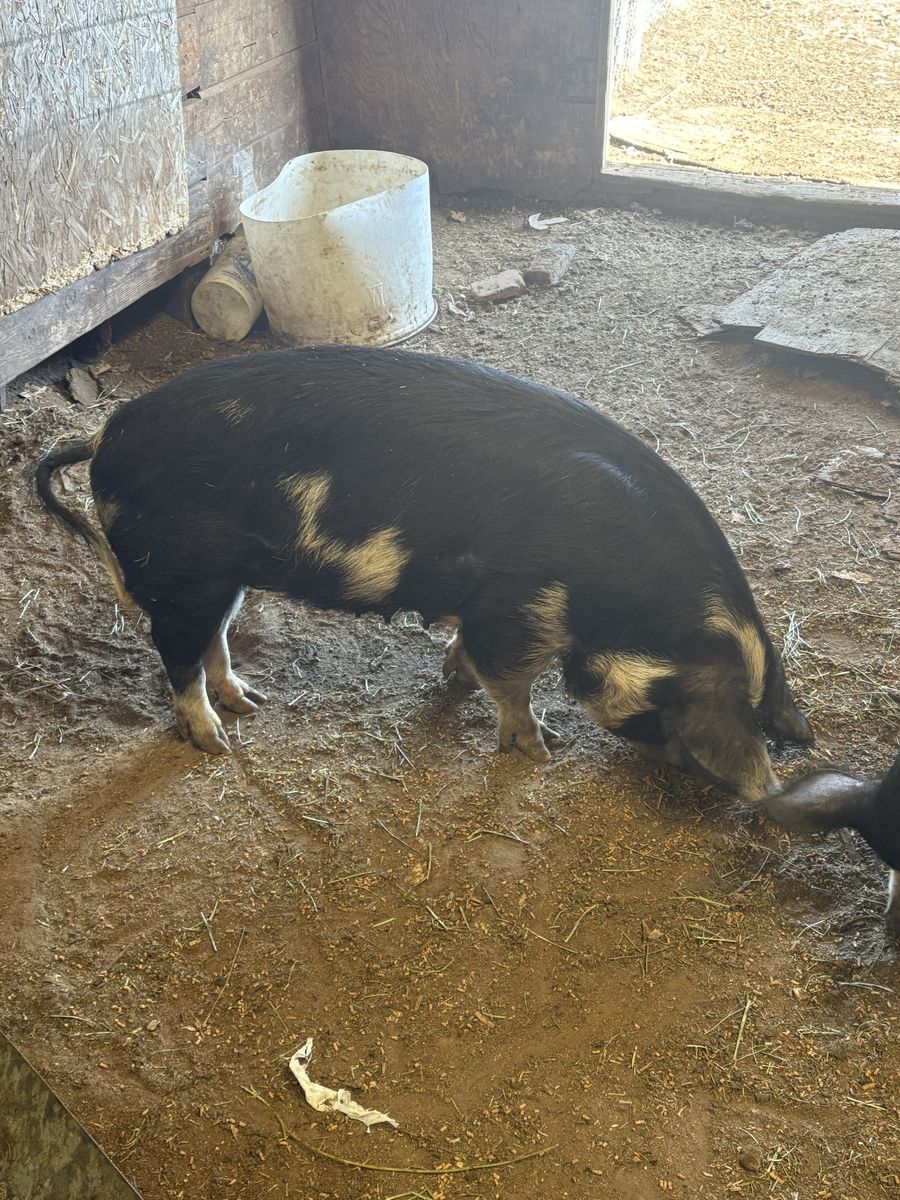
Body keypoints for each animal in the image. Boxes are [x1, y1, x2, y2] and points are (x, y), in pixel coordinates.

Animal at [33, 346, 898, 919]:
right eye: (679, 711)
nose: (758, 791)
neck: (618, 593)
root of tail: (106, 436)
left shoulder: (498, 609)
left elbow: (473, 658)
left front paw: (453, 680)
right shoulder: (519, 605)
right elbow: (511, 681)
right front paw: (538, 748)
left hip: (220, 578)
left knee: (212, 642)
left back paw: (250, 702)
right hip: (178, 571)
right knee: (175, 657)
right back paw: (214, 739)